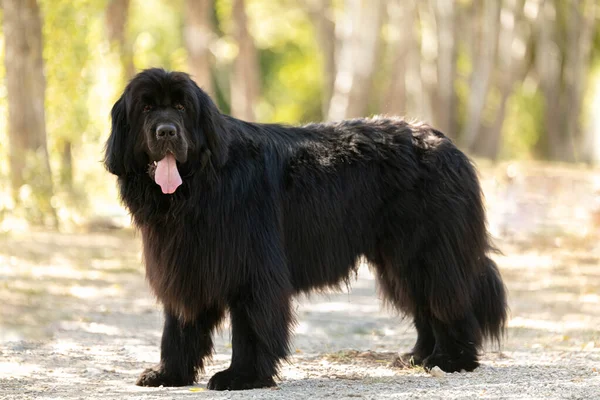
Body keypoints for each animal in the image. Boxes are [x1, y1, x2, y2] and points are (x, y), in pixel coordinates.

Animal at [106, 68, 506, 390]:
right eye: (145, 108)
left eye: (182, 107)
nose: (167, 131)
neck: (201, 184)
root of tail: (444, 141)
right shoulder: (185, 264)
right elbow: (178, 326)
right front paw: (168, 374)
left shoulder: (253, 269)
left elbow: (250, 327)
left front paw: (243, 377)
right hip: (398, 259)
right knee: (423, 304)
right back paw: (419, 356)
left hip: (428, 252)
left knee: (449, 301)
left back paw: (452, 360)